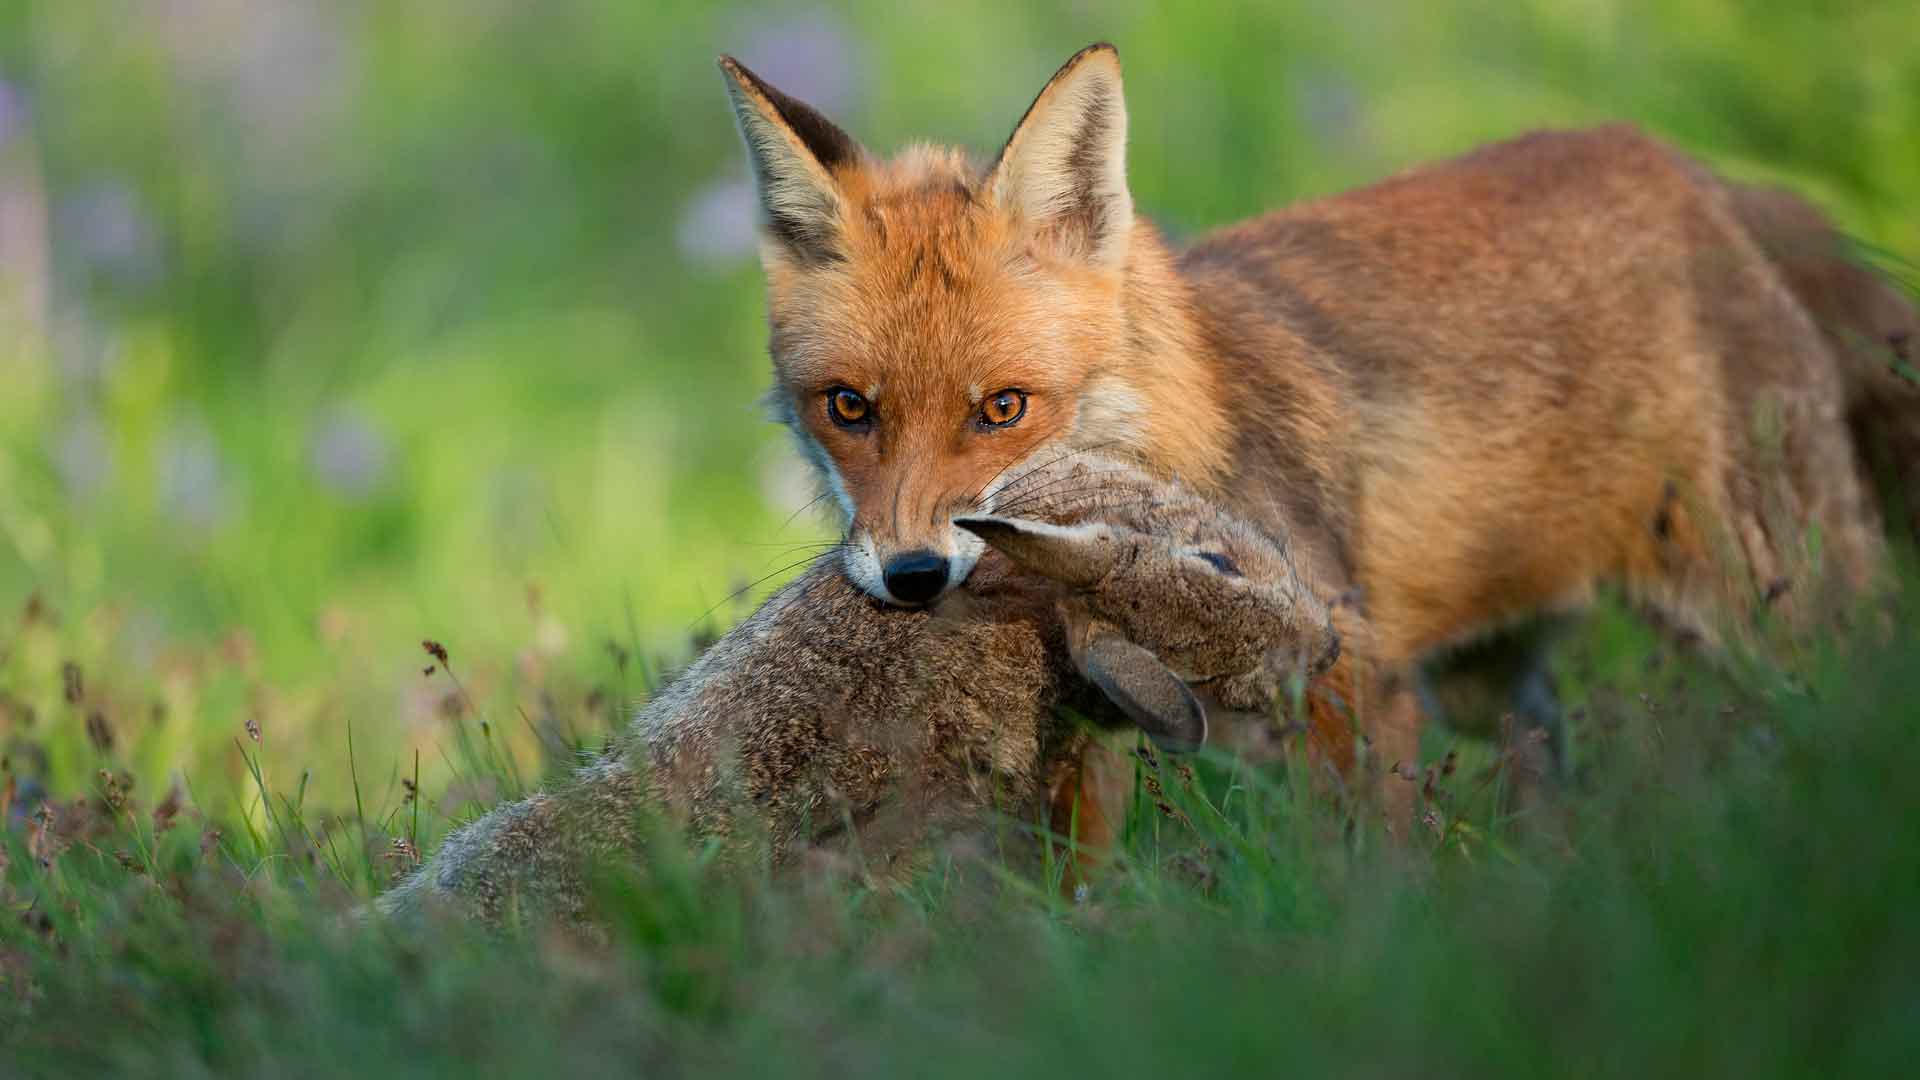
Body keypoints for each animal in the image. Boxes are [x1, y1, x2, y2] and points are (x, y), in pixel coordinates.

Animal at [718, 43, 1919, 820]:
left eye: (1003, 409)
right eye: (849, 408)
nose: (914, 577)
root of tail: (1690, 169)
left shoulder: (1353, 675)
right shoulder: (1090, 735)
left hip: (1780, 613)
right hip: (1490, 678)